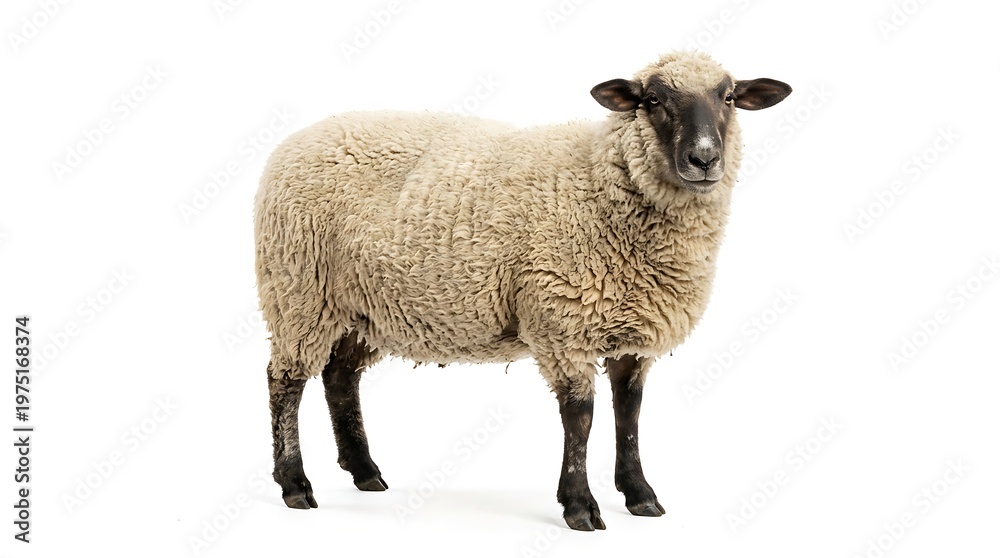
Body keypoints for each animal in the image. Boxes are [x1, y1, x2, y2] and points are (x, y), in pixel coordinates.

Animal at [254, 50, 791, 531]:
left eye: (728, 97)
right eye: (653, 99)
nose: (704, 158)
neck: (600, 183)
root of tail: (295, 141)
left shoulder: (633, 333)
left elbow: (629, 413)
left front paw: (639, 494)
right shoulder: (563, 322)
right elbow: (581, 417)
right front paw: (579, 506)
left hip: (359, 306)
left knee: (340, 378)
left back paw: (365, 471)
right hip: (298, 291)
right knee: (285, 382)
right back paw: (295, 484)